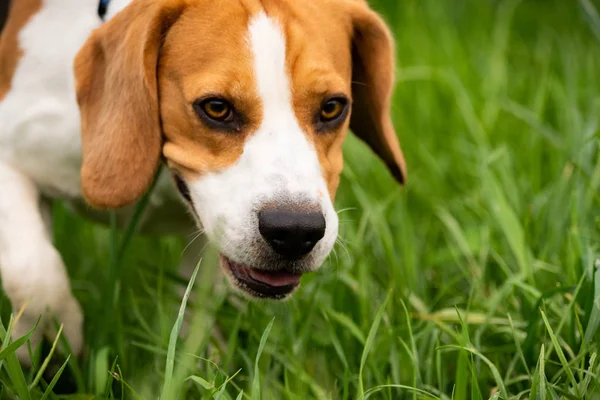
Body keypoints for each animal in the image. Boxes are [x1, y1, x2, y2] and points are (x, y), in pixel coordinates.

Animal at [0, 0, 408, 362]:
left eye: (332, 107)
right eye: (216, 108)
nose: (295, 231)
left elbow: (198, 311)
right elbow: (34, 272)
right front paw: (48, 340)